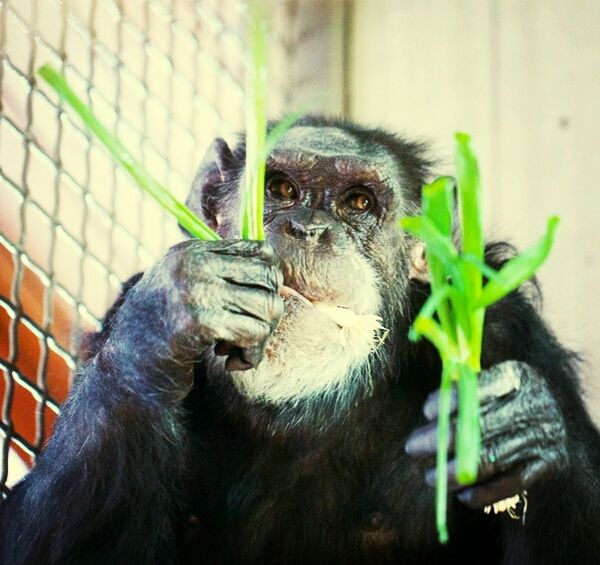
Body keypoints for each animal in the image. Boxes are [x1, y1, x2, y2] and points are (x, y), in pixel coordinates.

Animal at [1, 115, 600, 564]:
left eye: (358, 203)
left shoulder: (506, 328)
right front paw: (174, 307)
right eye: (281, 189)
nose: (310, 229)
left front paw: (518, 425)